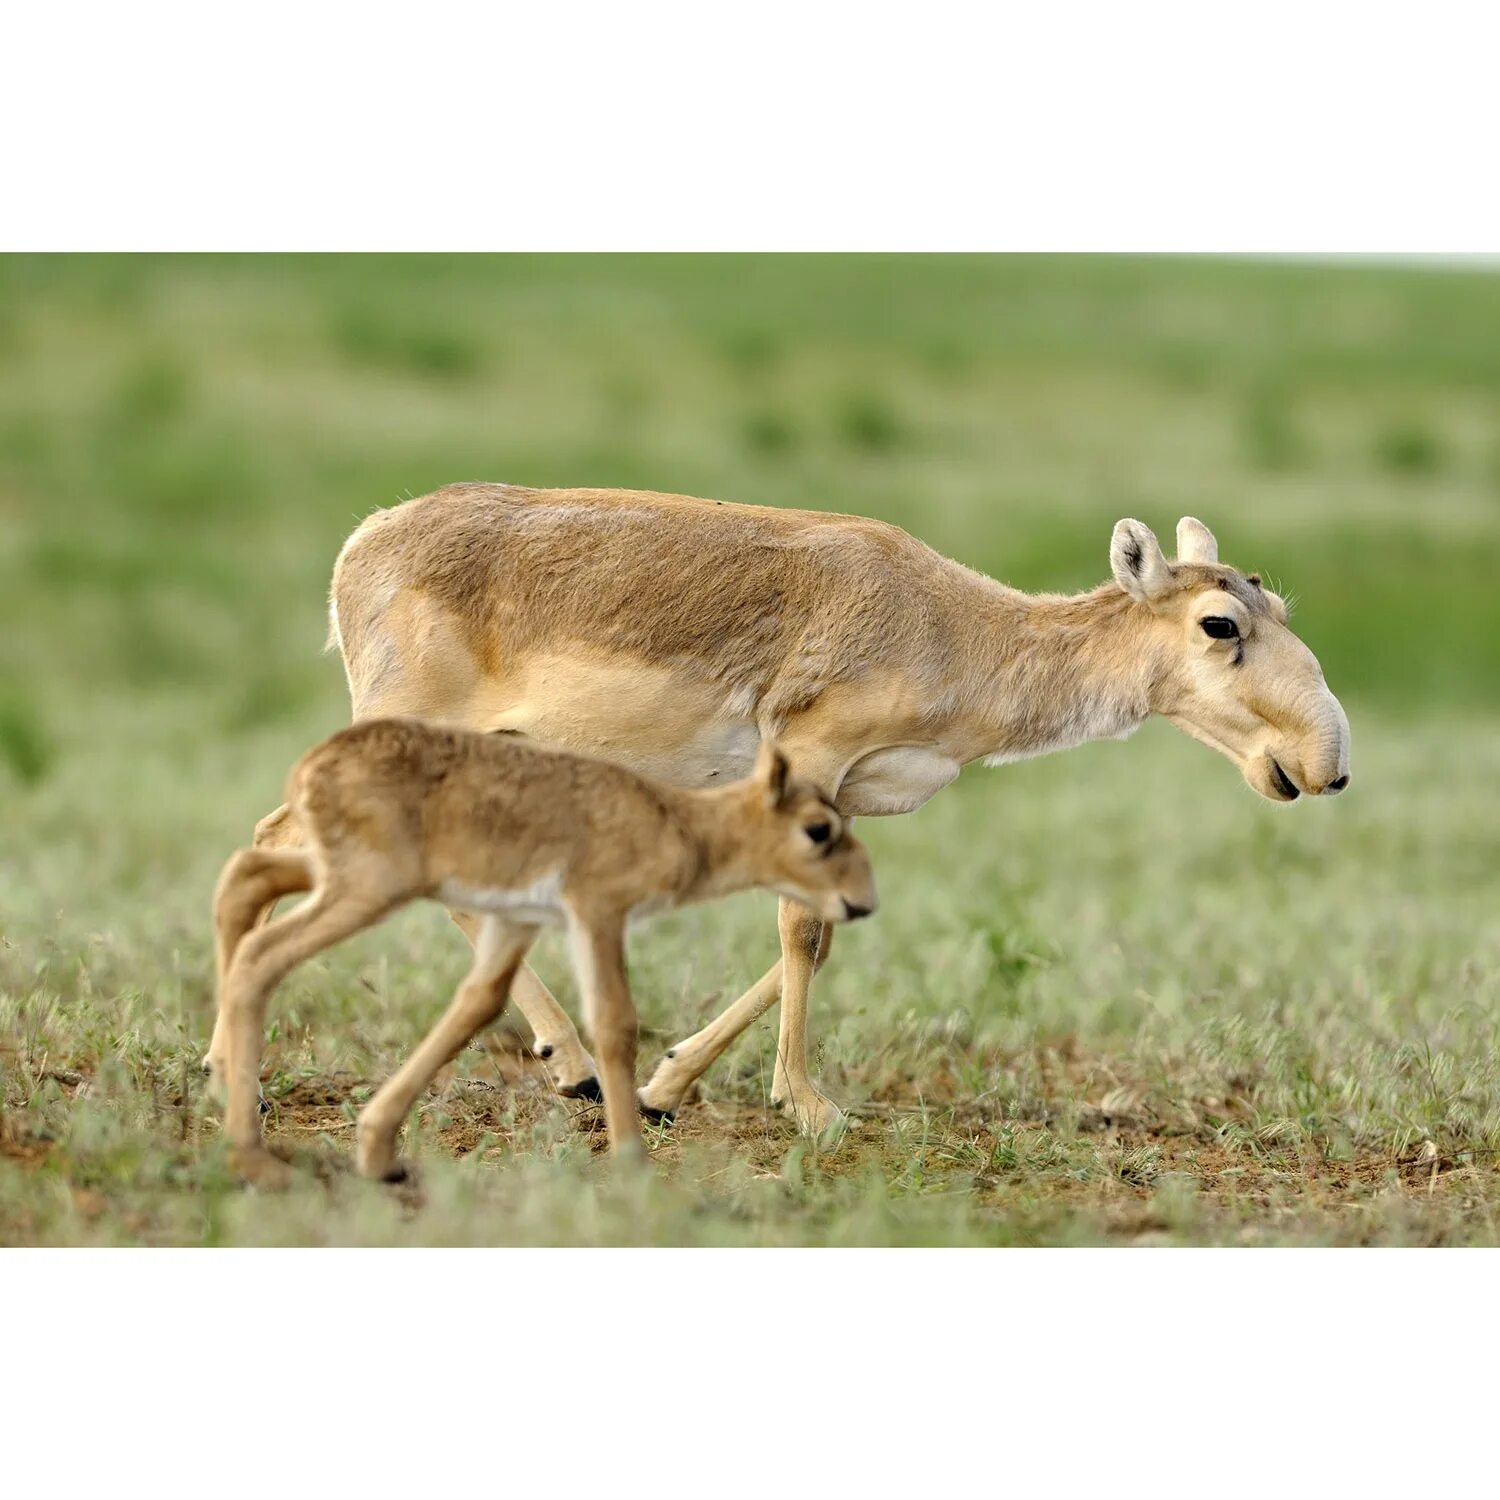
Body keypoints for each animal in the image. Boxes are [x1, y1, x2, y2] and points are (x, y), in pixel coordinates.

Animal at [243, 486, 1350, 1128]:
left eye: (1277, 604)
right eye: (1220, 623)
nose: (1325, 764)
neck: (956, 629)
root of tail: (360, 544)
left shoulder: (849, 796)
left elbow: (828, 927)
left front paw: (667, 1084)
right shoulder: (809, 760)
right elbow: (800, 928)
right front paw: (809, 1106)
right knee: (290, 841)